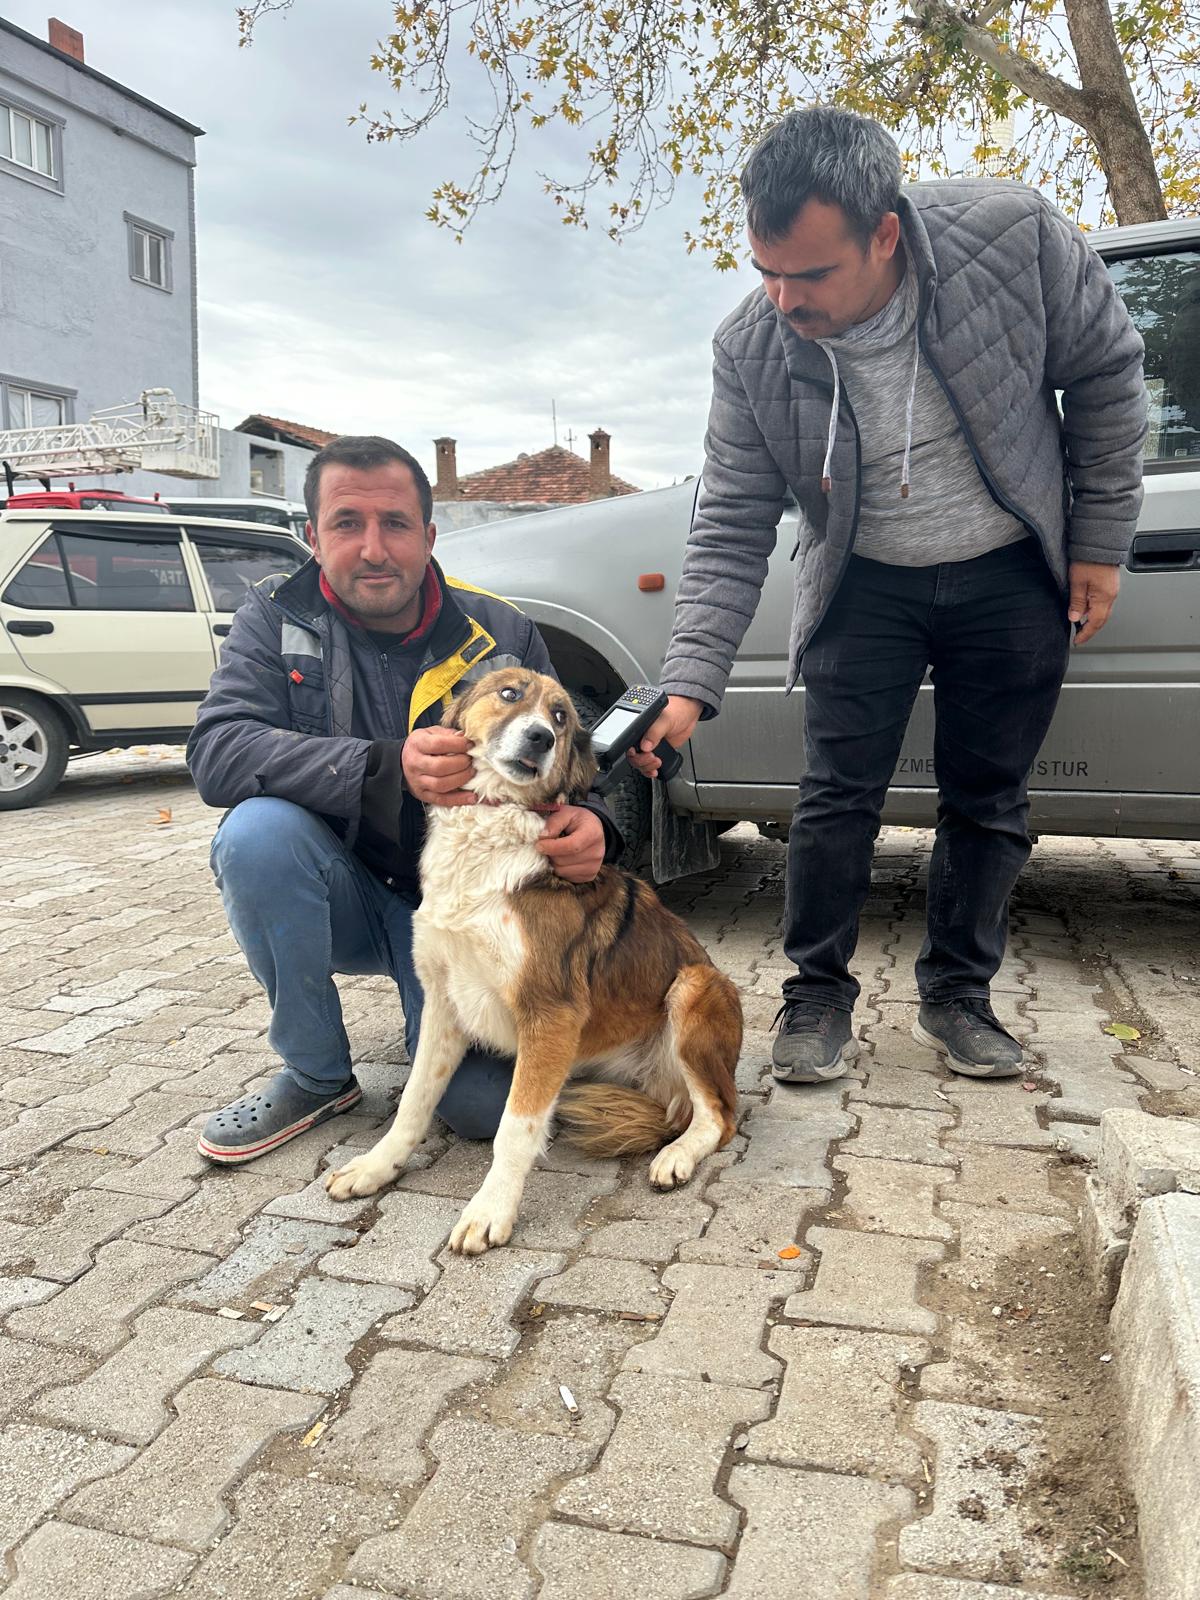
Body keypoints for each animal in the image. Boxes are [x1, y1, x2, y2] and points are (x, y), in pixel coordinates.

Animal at [329, 662, 742, 1248]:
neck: (491, 824)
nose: (540, 738)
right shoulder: (443, 1003)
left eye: (561, 717)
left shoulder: (550, 1015)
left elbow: (515, 1127)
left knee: (720, 1115)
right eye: (509, 693)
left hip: (695, 985)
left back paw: (677, 1156)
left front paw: (491, 1209)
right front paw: (375, 1165)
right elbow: (414, 1100)